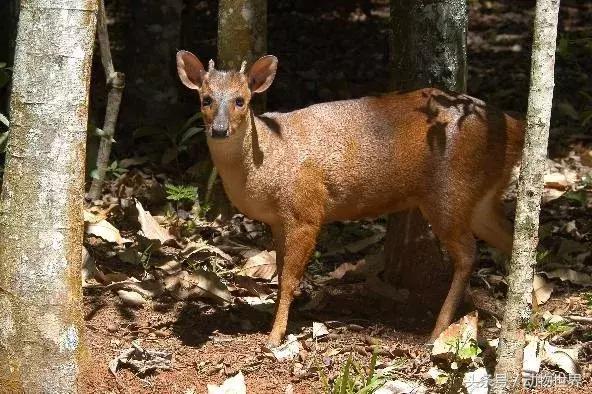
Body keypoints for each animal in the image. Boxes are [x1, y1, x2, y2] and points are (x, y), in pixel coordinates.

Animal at [175, 50, 524, 346]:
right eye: (206, 99)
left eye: (241, 100)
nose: (219, 129)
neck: (266, 165)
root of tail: (515, 126)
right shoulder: (278, 221)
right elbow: (280, 271)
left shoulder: (306, 211)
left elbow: (289, 278)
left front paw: (275, 336)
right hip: (478, 197)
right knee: (514, 239)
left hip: (449, 190)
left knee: (468, 253)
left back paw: (437, 332)